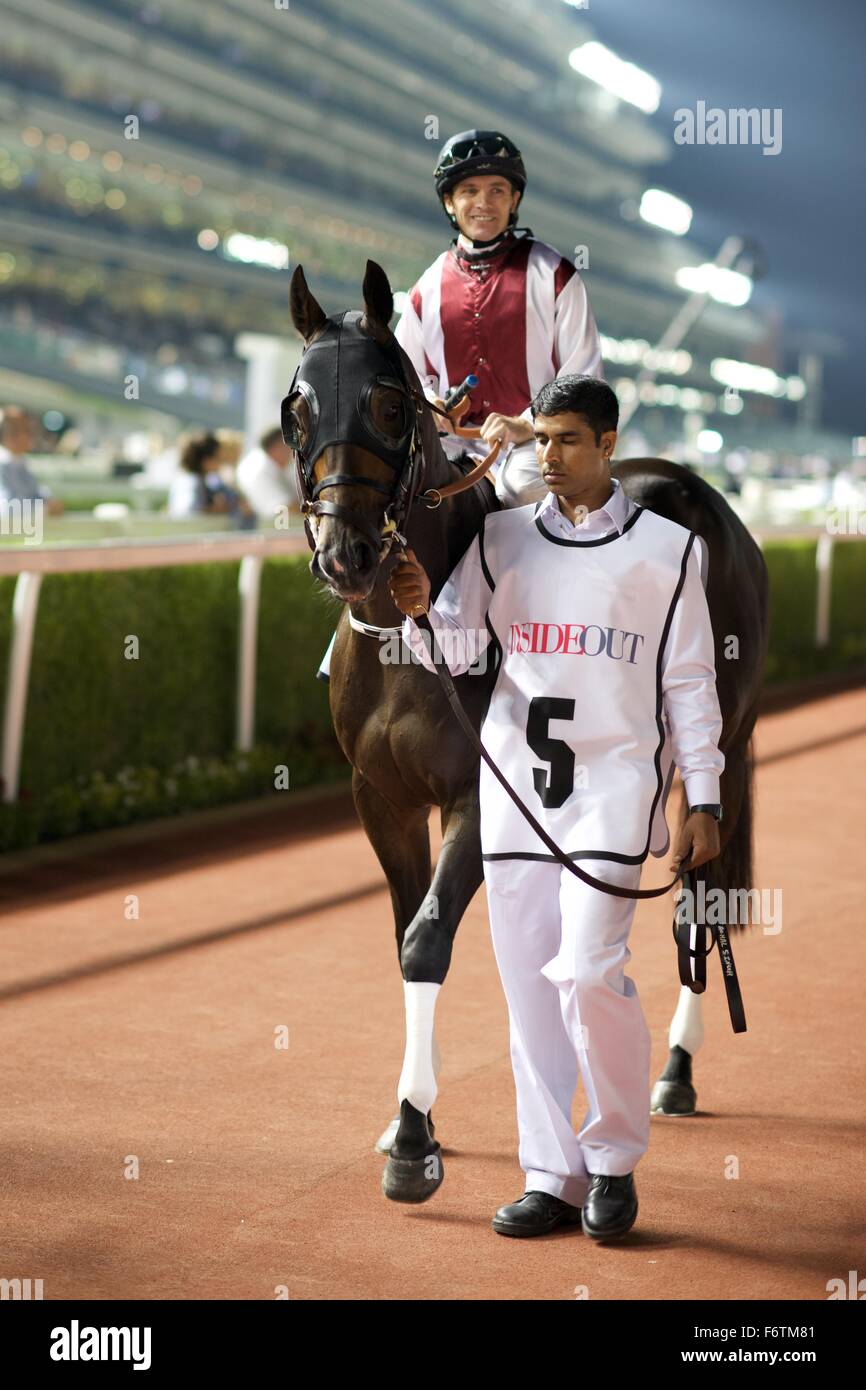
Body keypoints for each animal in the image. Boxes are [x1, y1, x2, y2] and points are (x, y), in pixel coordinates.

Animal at [286, 258, 772, 1206]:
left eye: (389, 405)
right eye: (297, 406)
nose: (345, 553)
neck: (414, 632)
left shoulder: (485, 797)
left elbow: (428, 939)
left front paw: (414, 1144)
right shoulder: (381, 798)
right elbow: (406, 935)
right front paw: (415, 1117)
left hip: (722, 750)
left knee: (700, 894)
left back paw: (675, 1070)